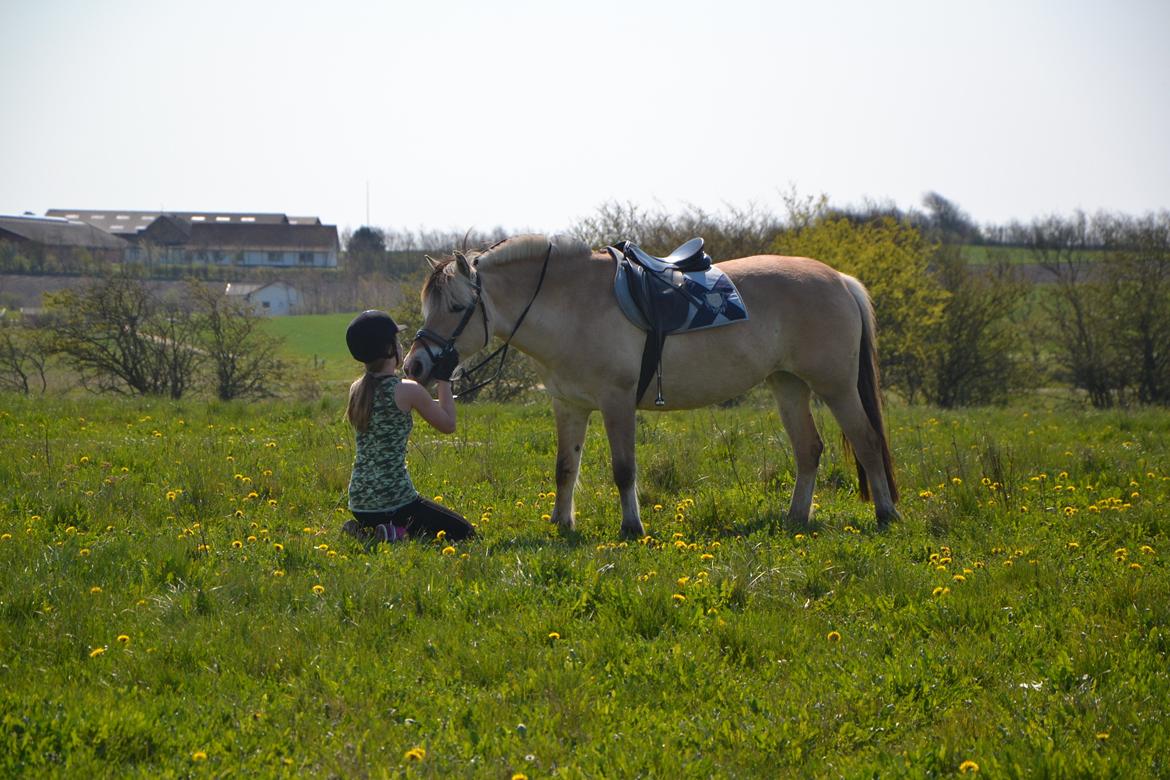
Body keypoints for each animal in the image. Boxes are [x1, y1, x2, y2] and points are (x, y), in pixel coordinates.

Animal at [402, 233, 893, 537]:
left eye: (457, 306)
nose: (416, 365)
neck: (573, 307)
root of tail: (839, 280)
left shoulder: (616, 403)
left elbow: (624, 470)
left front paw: (631, 527)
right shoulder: (568, 406)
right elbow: (565, 468)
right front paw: (562, 523)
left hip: (836, 387)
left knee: (867, 442)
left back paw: (886, 514)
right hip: (788, 385)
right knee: (809, 449)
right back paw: (796, 518)